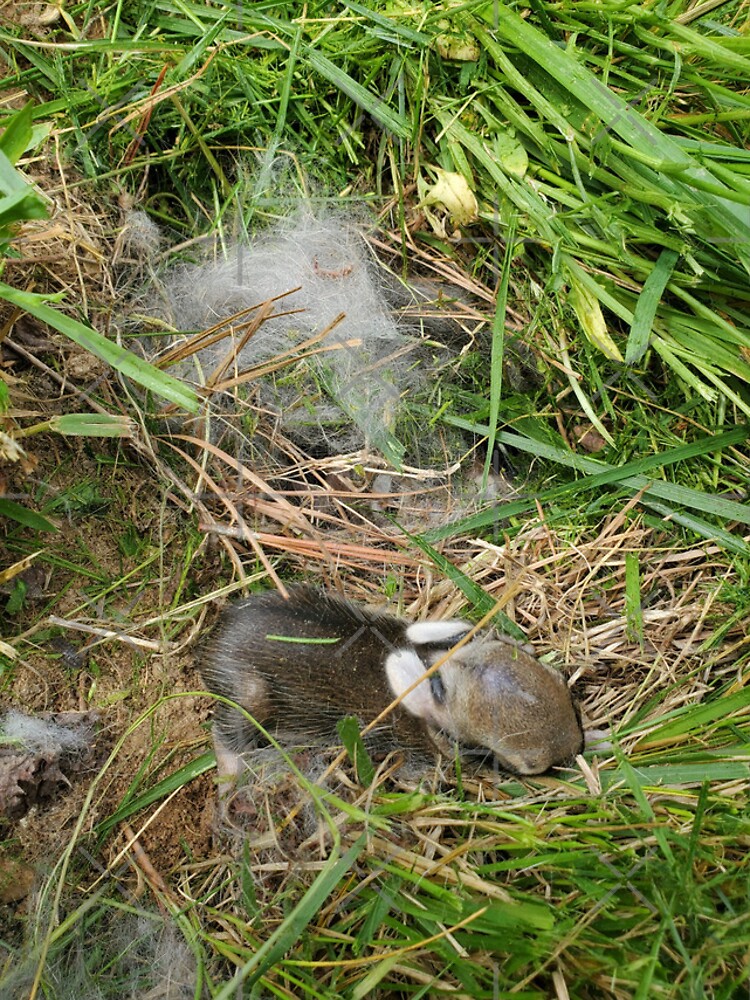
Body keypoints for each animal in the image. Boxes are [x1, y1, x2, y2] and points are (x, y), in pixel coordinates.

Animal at [198, 586, 583, 785]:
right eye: (523, 763)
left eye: (560, 680)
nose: (576, 745)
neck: (433, 664)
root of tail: (215, 637)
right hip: (249, 696)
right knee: (224, 732)